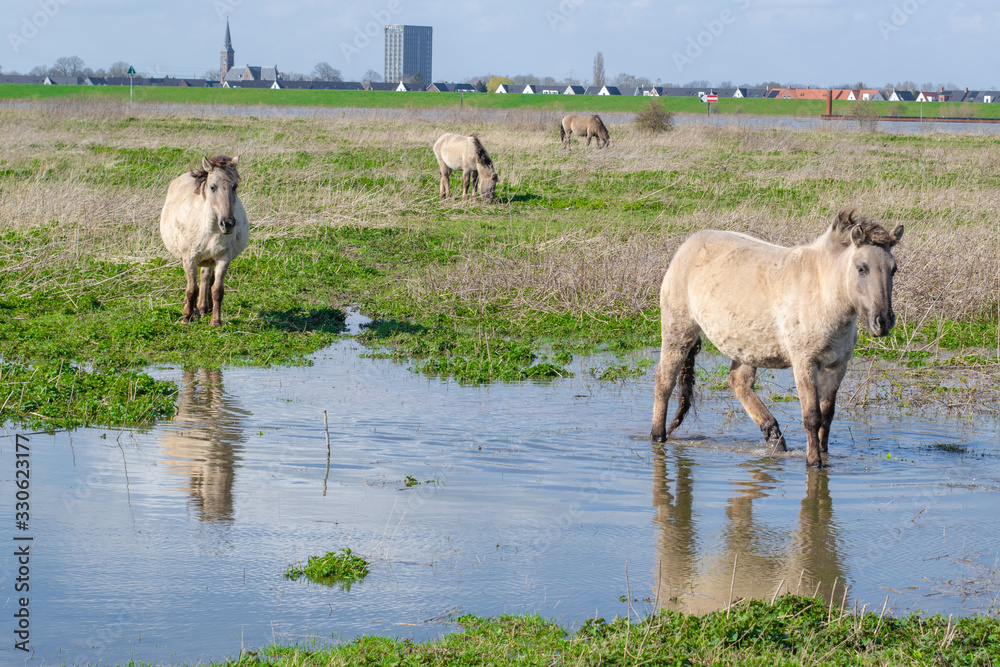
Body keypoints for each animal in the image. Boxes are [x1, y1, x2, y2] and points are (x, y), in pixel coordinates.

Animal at [160, 155, 248, 327]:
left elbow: (217, 290)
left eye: (234, 186)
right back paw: (195, 310)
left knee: (205, 276)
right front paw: (186, 317)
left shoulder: (223, 259)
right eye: (213, 187)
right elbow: (191, 289)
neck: (209, 229)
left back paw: (203, 308)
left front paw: (216, 321)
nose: (227, 224)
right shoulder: (189, 258)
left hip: (208, 259)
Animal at [650, 208, 904, 468]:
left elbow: (827, 416)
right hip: (678, 333)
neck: (823, 294)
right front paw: (814, 462)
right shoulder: (805, 364)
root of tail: (687, 246)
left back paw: (773, 436)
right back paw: (658, 436)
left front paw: (823, 454)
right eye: (862, 268)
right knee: (664, 382)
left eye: (893, 269)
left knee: (738, 383)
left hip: (745, 348)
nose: (883, 321)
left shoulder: (836, 367)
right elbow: (811, 417)